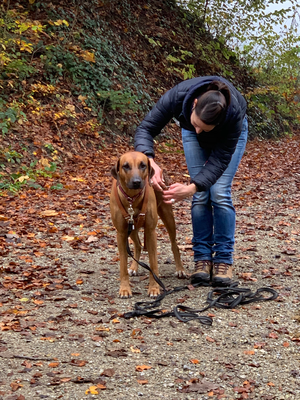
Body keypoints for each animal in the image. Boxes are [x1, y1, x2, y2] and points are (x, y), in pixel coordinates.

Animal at [110, 150, 185, 296]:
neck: (132, 198)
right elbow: (123, 265)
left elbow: (153, 264)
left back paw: (180, 269)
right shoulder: (121, 233)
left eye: (143, 165)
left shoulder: (150, 232)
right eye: (125, 166)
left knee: (174, 245)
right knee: (138, 245)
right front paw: (125, 288)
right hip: (132, 228)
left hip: (167, 215)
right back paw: (134, 267)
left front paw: (154, 288)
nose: (136, 182)